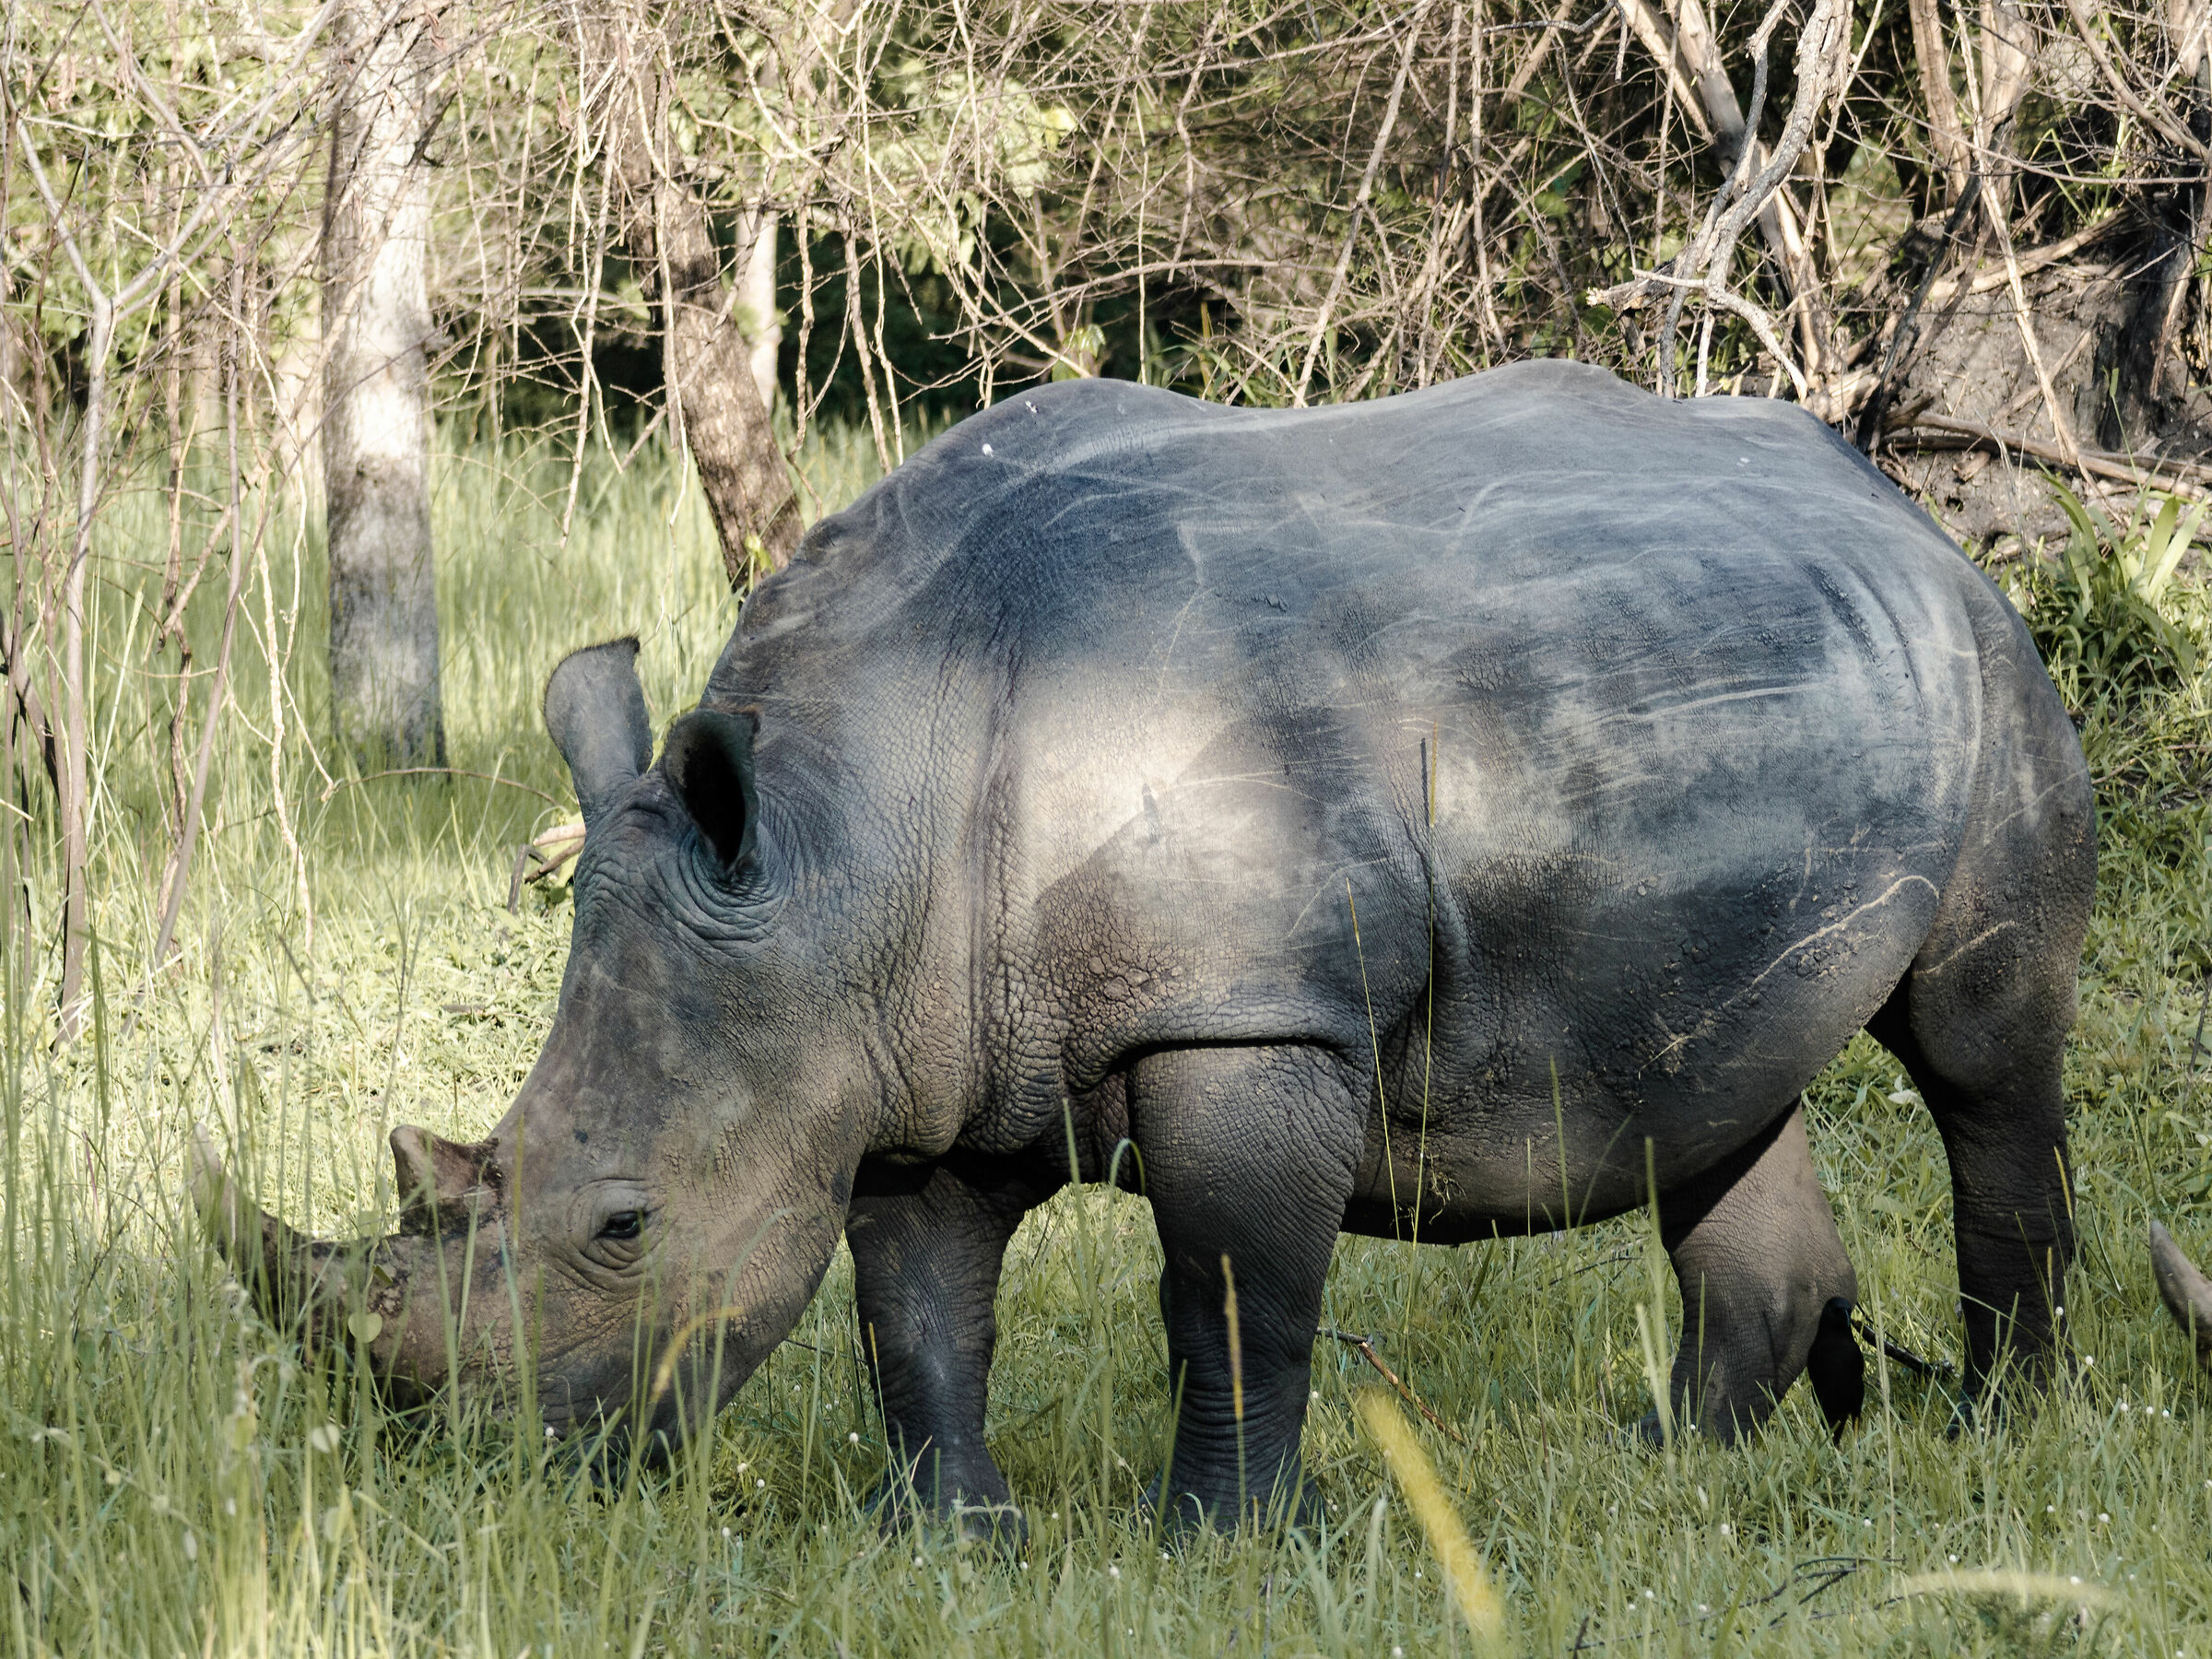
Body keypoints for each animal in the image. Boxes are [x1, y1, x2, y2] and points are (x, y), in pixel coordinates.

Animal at [194, 360, 2095, 1527]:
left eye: (622, 1226)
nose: (481, 1468)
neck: (840, 840)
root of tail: (1906, 506)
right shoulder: (905, 1040)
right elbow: (917, 1306)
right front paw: (952, 1538)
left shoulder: (1246, 1015)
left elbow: (1232, 1288)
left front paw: (1222, 1546)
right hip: (1734, 680)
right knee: (1714, 1081)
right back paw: (1656, 1468)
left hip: (1994, 668)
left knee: (1980, 1055)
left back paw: (1997, 1437)